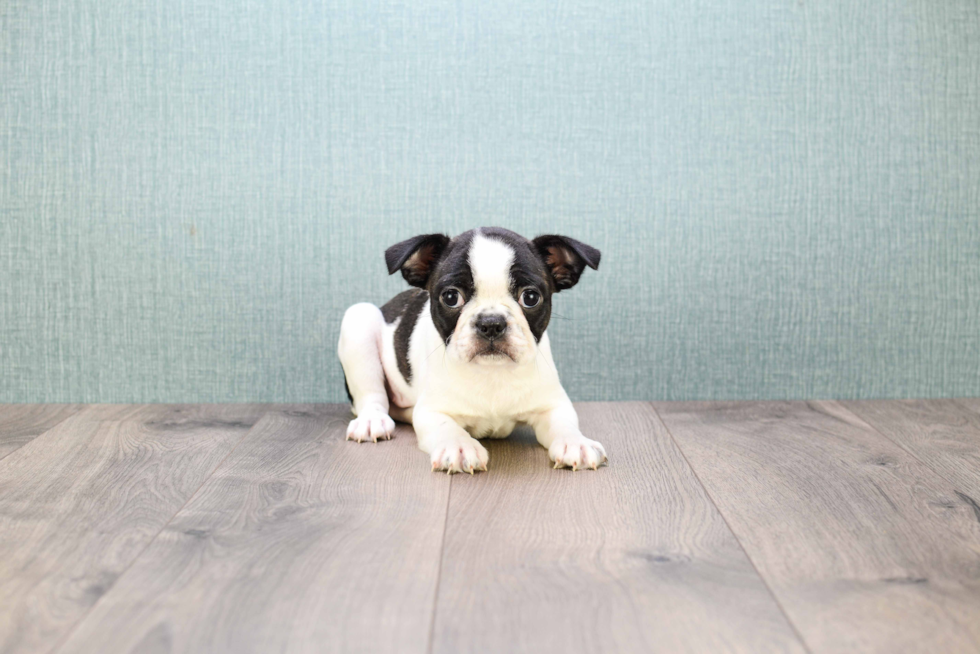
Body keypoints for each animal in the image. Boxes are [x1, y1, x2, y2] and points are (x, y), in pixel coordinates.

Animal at [340, 228, 608, 474]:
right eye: (451, 297)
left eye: (531, 297)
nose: (491, 323)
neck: (492, 372)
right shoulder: (431, 410)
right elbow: (447, 427)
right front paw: (459, 447)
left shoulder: (552, 405)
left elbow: (565, 423)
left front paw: (577, 443)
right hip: (358, 320)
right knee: (371, 397)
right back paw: (371, 421)